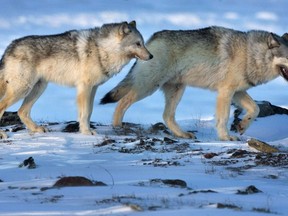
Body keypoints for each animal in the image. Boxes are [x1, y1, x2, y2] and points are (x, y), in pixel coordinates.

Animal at [0, 20, 153, 138]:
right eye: (138, 43)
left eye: (143, 43)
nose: (151, 56)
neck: (101, 49)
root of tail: (9, 47)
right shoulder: (85, 87)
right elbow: (84, 113)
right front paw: (86, 132)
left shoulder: (93, 88)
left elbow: (89, 112)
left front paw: (86, 130)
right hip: (23, 90)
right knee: (6, 107)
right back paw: (2, 134)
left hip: (38, 88)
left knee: (21, 112)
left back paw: (36, 129)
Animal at [100, 26, 288, 141]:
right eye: (287, 56)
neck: (250, 55)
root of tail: (150, 39)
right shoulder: (225, 92)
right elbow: (223, 118)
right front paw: (226, 138)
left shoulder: (237, 92)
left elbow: (255, 109)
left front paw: (242, 126)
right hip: (148, 87)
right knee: (122, 102)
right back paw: (117, 127)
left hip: (177, 91)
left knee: (167, 116)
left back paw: (183, 134)